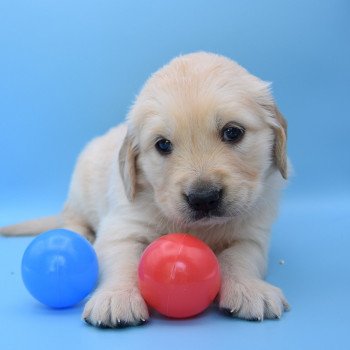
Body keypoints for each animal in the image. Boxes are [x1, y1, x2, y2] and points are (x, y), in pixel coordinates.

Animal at [0, 51, 290, 326]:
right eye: (163, 145)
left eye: (233, 132)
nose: (203, 198)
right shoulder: (122, 227)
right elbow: (124, 261)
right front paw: (116, 297)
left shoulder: (252, 234)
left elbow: (240, 259)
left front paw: (249, 289)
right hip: (80, 190)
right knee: (71, 220)